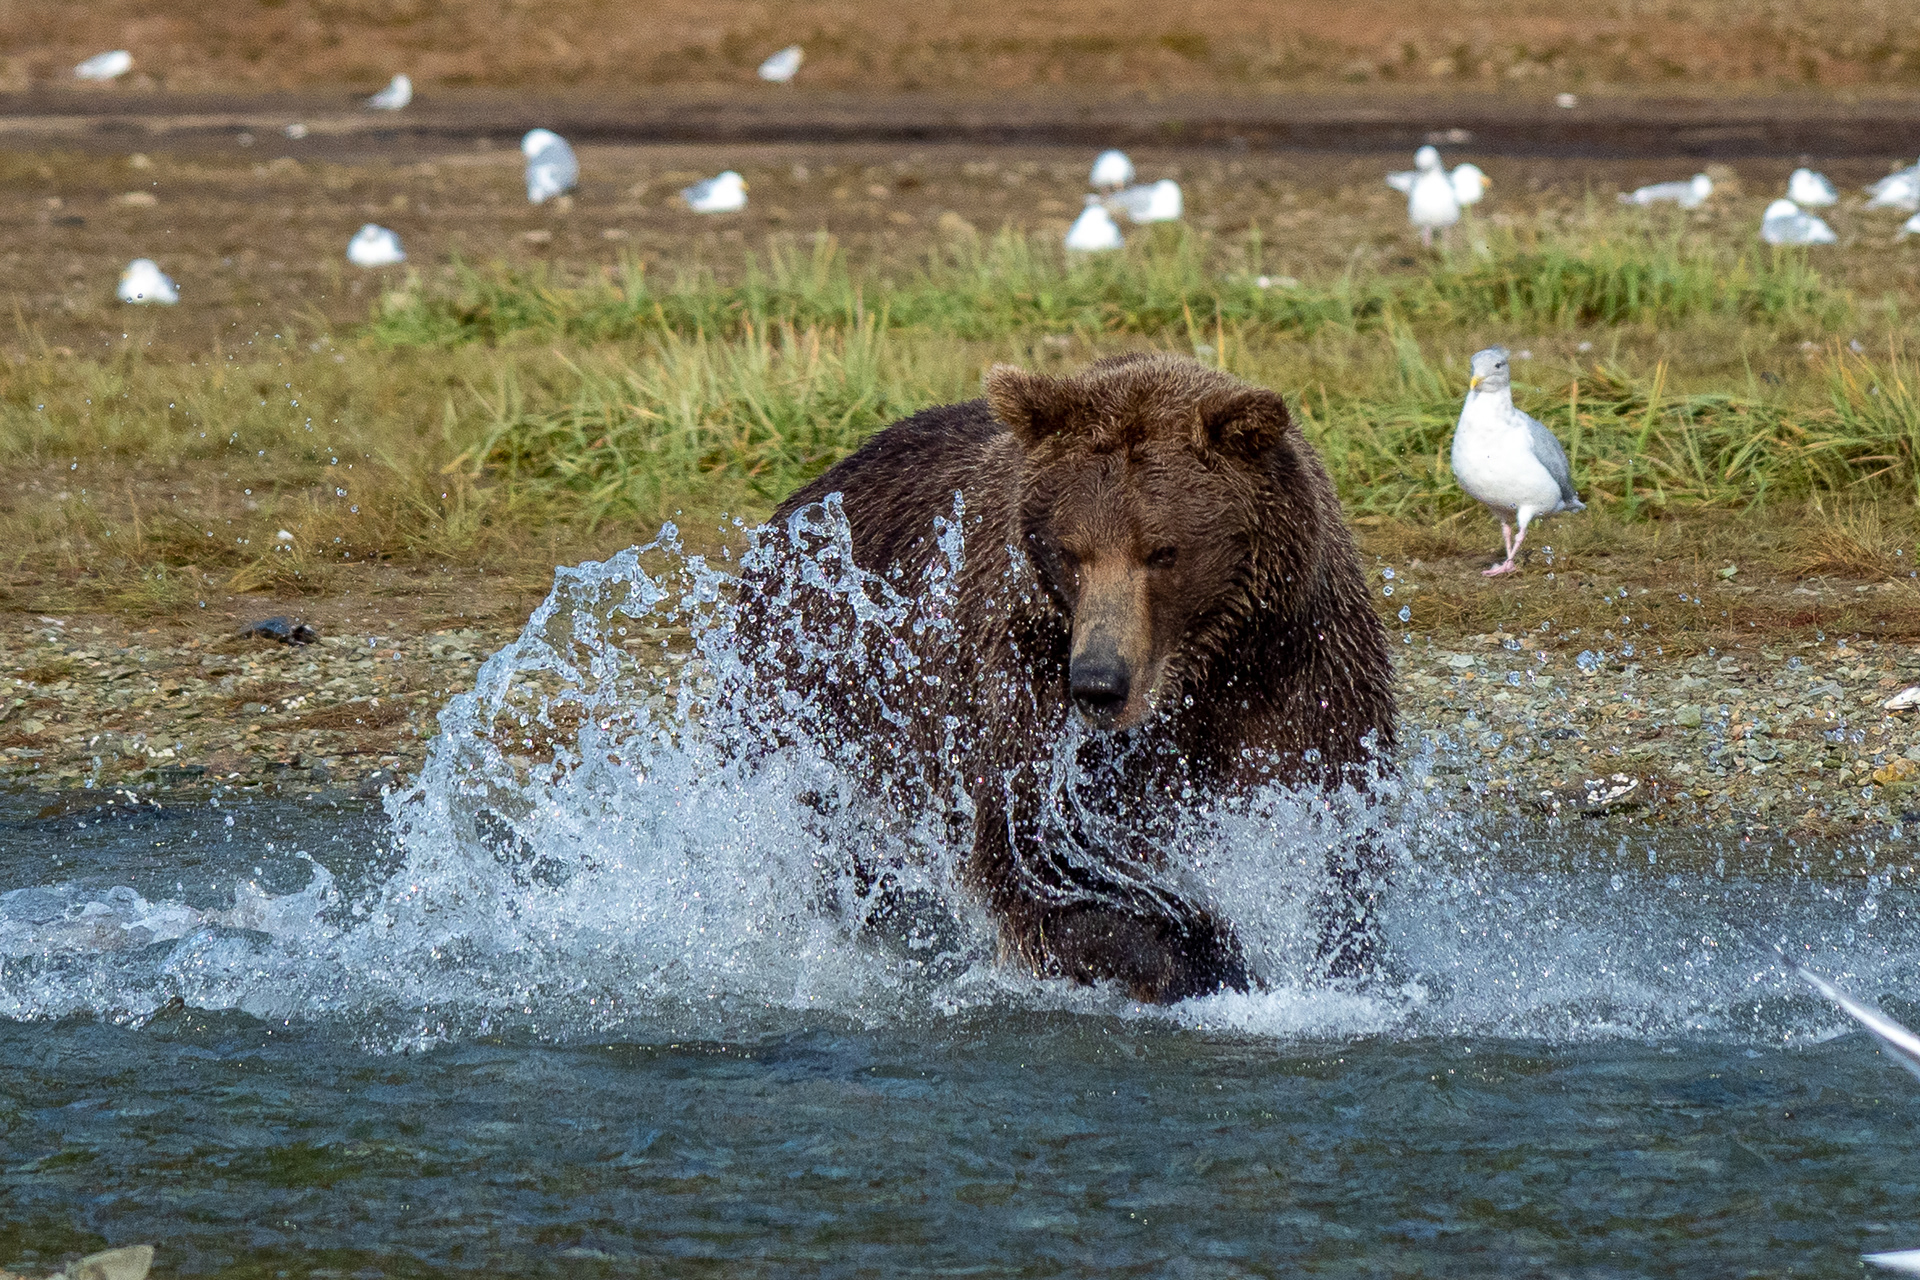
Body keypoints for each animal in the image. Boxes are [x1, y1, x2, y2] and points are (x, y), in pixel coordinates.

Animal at [733, 353, 1396, 1003]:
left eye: (1162, 551)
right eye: (1071, 551)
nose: (1099, 684)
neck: (1199, 673)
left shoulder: (1300, 670)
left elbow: (1335, 841)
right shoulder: (1020, 675)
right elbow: (1036, 858)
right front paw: (1200, 950)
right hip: (812, 698)